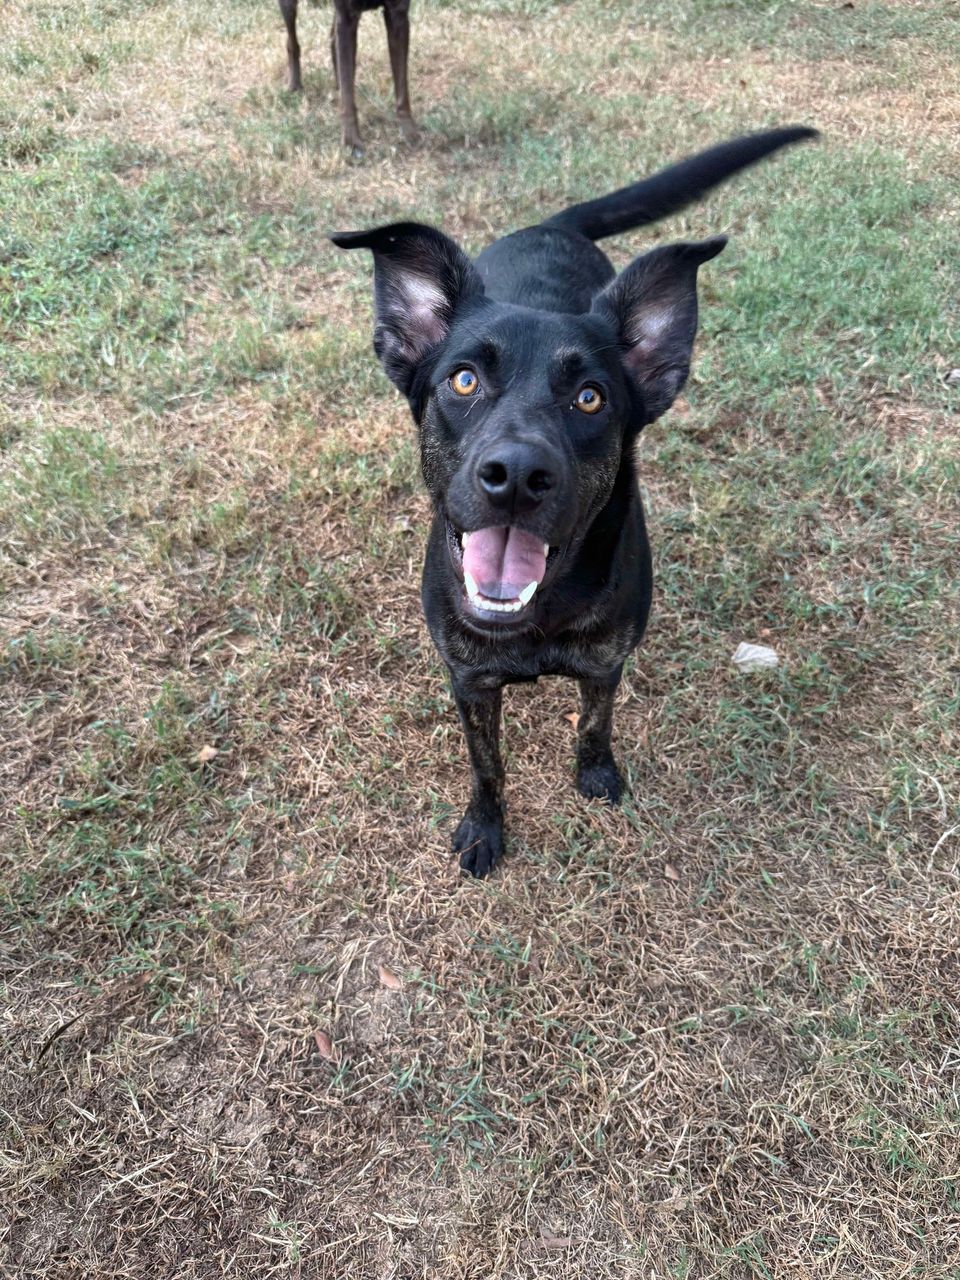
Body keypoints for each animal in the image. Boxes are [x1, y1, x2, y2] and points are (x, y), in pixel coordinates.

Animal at [276, 0, 414, 156]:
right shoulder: (347, 17)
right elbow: (348, 95)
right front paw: (352, 141)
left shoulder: (398, 14)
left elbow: (402, 86)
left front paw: (409, 131)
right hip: (289, 7)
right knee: (292, 42)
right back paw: (294, 86)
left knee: (333, 40)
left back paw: (337, 85)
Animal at [332, 124, 819, 875]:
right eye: (464, 380)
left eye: (590, 397)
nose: (516, 475)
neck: (538, 617)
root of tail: (554, 225)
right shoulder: (469, 680)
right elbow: (486, 763)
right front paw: (484, 826)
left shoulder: (606, 662)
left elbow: (595, 721)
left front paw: (596, 774)